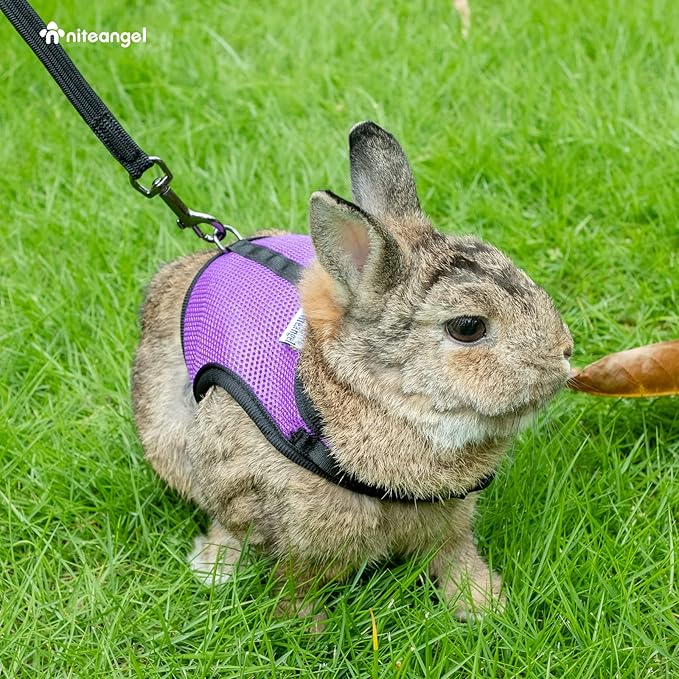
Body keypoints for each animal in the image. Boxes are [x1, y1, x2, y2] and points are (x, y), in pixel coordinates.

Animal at [132, 121, 573, 621]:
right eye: (468, 327)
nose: (565, 352)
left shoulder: (449, 521)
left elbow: (455, 554)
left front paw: (484, 604)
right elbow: (284, 570)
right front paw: (303, 624)